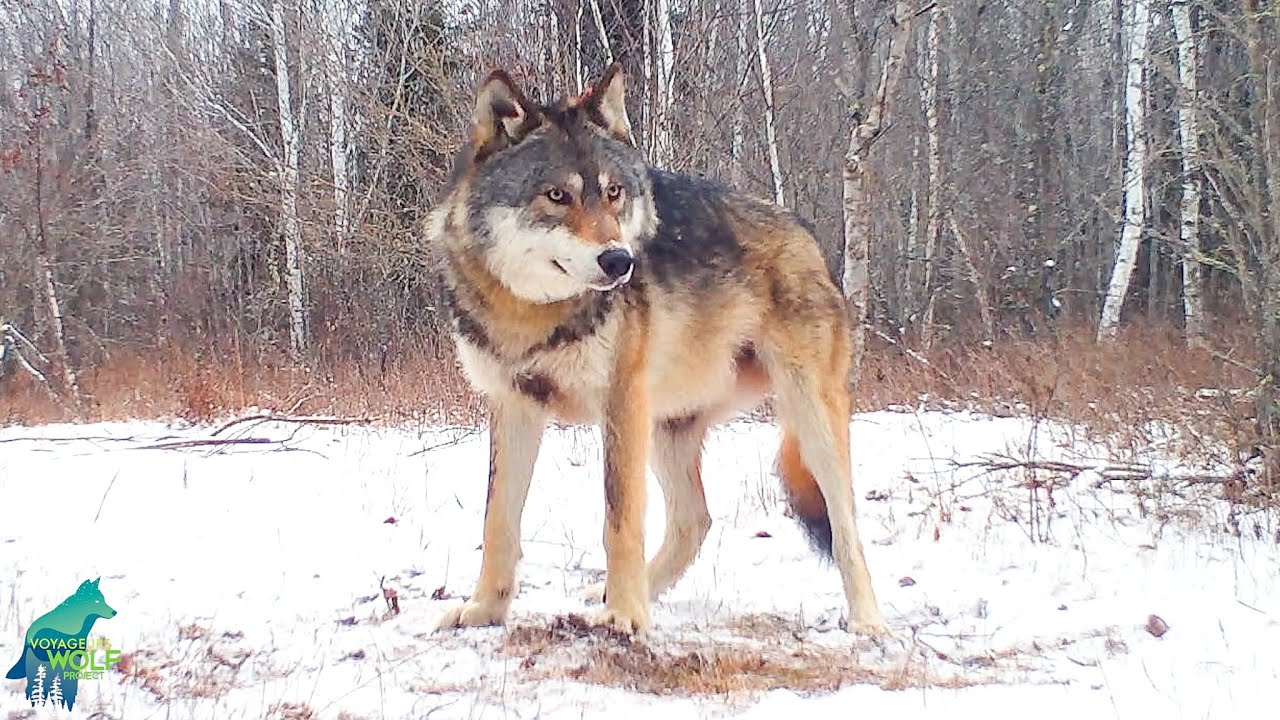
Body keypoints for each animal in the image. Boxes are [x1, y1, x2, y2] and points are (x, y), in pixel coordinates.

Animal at [430, 64, 887, 637]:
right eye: (556, 195)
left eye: (614, 192)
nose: (619, 261)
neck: (532, 315)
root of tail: (806, 235)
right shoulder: (514, 408)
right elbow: (497, 521)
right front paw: (485, 610)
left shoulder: (620, 402)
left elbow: (620, 518)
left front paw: (625, 617)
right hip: (668, 428)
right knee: (697, 519)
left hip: (808, 419)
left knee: (845, 524)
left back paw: (869, 621)